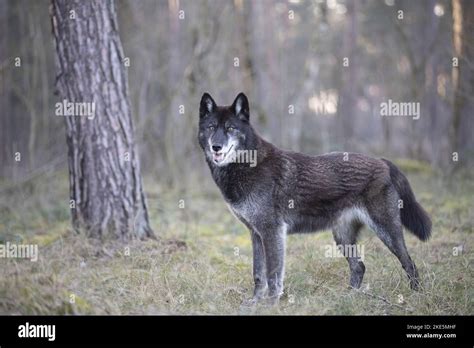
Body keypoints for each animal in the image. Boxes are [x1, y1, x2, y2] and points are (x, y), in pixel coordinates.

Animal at [198, 92, 432, 304]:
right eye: (211, 127)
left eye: (230, 128)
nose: (216, 146)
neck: (248, 165)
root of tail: (382, 161)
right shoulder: (256, 233)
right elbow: (258, 274)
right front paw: (255, 302)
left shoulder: (272, 231)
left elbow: (273, 274)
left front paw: (271, 305)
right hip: (342, 237)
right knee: (359, 266)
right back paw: (347, 299)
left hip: (387, 231)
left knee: (409, 263)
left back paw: (416, 296)